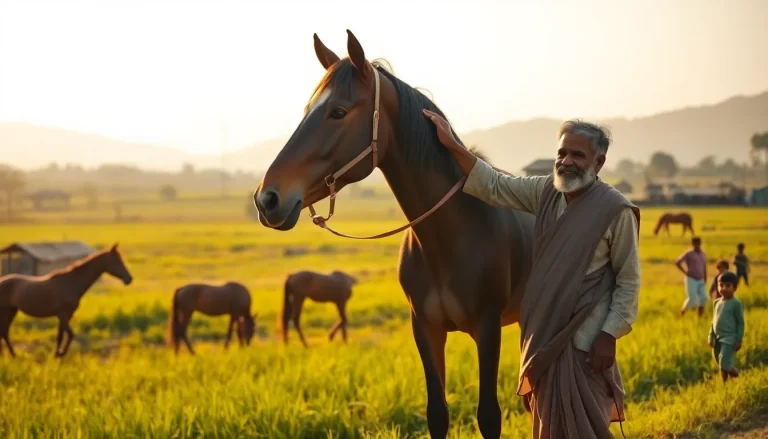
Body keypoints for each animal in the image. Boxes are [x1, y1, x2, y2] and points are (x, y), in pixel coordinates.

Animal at [0, 243, 132, 358]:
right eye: (117, 261)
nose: (129, 279)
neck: (71, 282)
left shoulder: (67, 315)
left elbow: (60, 336)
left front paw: (56, 356)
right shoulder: (62, 314)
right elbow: (70, 334)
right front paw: (61, 353)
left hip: (12, 311)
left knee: (5, 333)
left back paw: (14, 356)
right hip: (6, 312)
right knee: (4, 332)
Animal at [252, 30, 535, 439]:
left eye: (338, 111)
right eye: (307, 110)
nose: (267, 198)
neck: (449, 237)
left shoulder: (487, 328)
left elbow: (488, 416)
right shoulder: (425, 328)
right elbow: (437, 413)